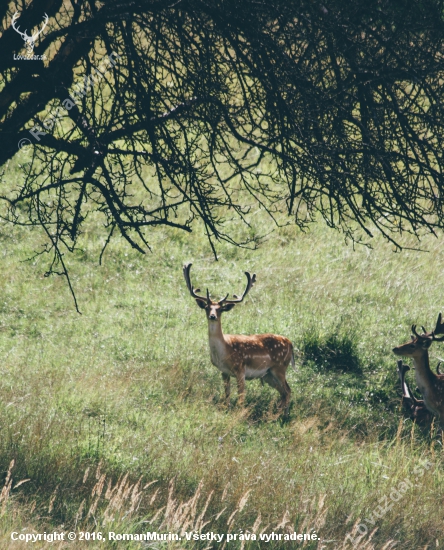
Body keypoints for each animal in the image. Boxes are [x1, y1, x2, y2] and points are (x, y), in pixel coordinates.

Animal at [182, 264, 296, 414]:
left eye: (220, 309)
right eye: (207, 307)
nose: (212, 316)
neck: (224, 351)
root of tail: (291, 344)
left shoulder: (240, 369)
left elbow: (241, 397)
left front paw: (239, 413)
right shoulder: (224, 372)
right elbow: (227, 395)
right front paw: (227, 409)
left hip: (280, 367)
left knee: (288, 390)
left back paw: (282, 415)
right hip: (268, 374)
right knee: (283, 392)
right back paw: (277, 413)